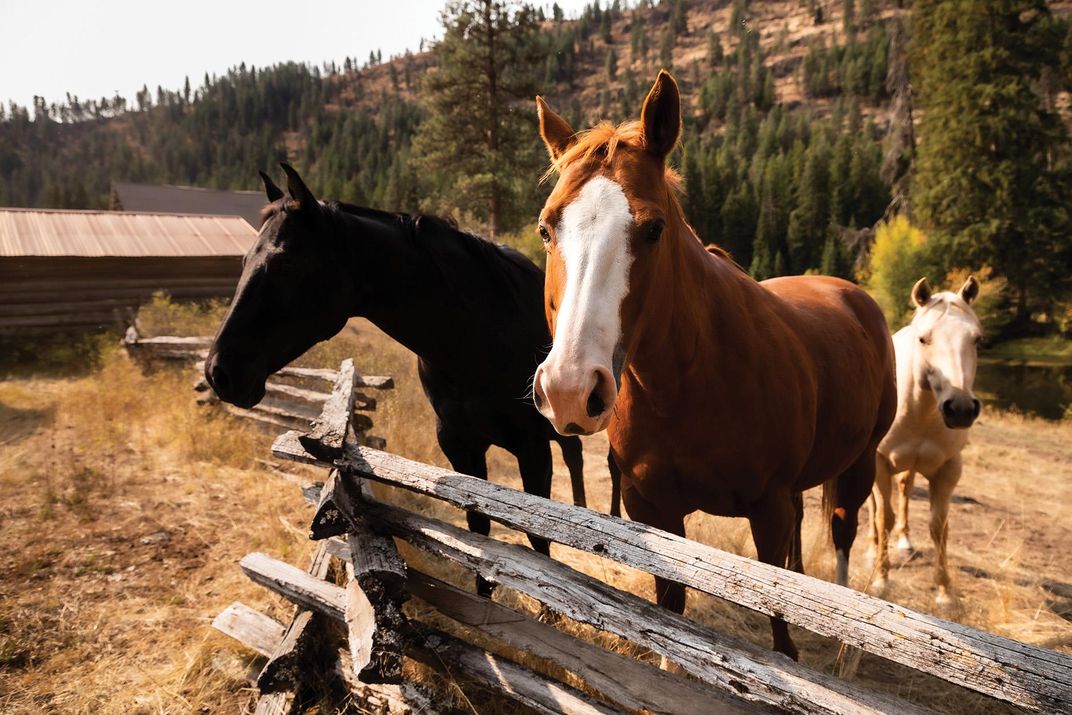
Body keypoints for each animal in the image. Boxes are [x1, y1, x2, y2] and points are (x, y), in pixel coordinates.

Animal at [202, 165, 587, 591]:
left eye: (285, 264)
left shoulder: (532, 447)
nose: (219, 372)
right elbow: (480, 533)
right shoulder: (460, 446)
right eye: (243, 260)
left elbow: (538, 540)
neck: (477, 337)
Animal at [529, 72, 896, 660]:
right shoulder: (651, 507)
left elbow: (779, 628)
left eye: (653, 229)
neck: (690, 380)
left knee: (843, 535)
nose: (569, 390)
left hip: (859, 462)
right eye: (546, 229)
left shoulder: (768, 509)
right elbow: (670, 610)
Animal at [870, 276, 981, 604]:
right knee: (873, 508)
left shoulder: (948, 470)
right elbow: (884, 517)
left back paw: (905, 542)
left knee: (905, 490)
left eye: (977, 340)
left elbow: (938, 526)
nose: (960, 408)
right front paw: (881, 579)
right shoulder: (878, 463)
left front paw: (945, 592)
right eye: (923, 339)